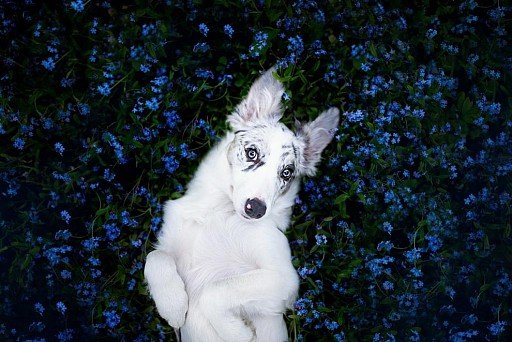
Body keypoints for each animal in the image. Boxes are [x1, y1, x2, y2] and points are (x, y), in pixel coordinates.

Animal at [144, 68, 340, 340]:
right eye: (251, 153)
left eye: (287, 172)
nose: (256, 209)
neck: (218, 212)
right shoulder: (171, 242)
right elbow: (154, 257)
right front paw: (172, 305)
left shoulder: (284, 278)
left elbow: (215, 292)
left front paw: (238, 333)